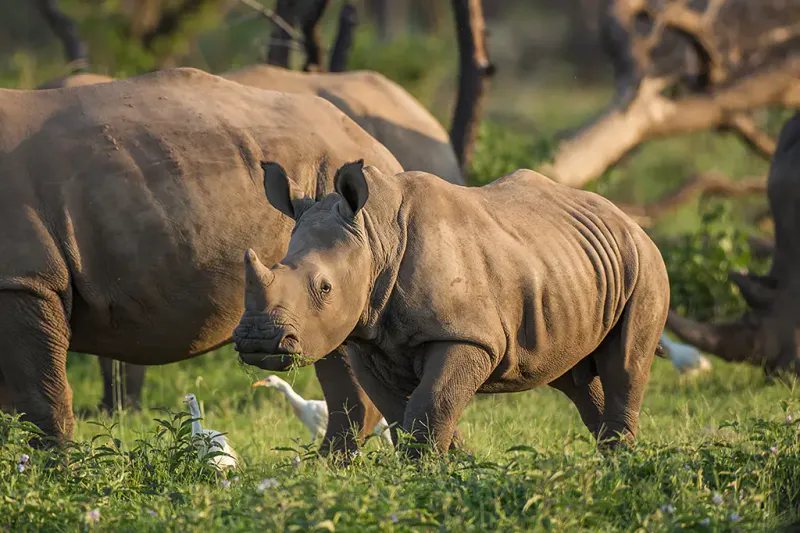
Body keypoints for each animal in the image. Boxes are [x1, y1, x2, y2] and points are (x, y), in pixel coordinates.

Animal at [234, 161, 671, 453]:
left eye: (325, 287)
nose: (259, 340)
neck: (374, 237)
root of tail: (627, 218)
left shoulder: (468, 335)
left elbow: (431, 405)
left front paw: (432, 475)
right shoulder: (367, 340)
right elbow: (404, 413)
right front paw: (455, 468)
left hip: (645, 261)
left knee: (625, 364)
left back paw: (622, 466)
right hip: (567, 267)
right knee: (573, 375)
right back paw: (609, 462)